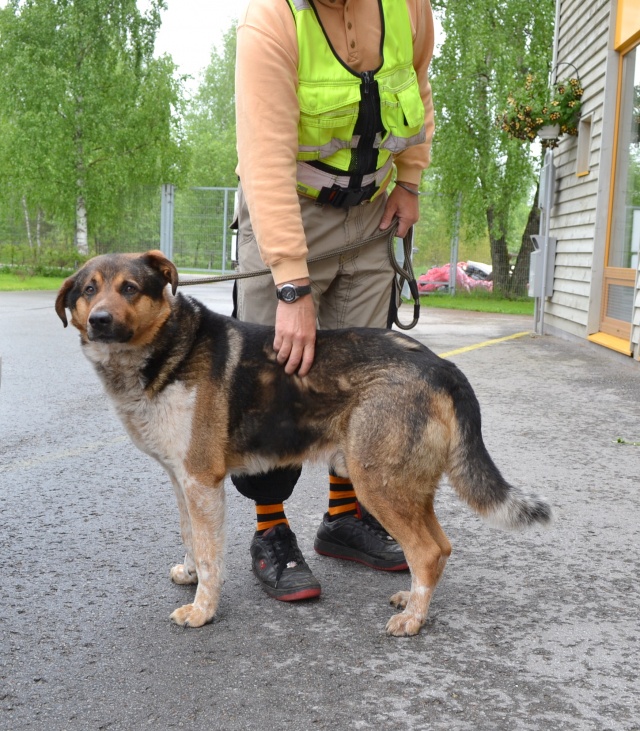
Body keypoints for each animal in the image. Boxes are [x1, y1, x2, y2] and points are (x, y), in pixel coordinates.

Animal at [55, 250, 551, 637]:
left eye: (130, 288)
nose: (100, 321)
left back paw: (413, 620)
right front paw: (190, 575)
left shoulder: (202, 481)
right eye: (88, 290)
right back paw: (411, 601)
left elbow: (212, 557)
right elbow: (190, 537)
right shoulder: (181, 480)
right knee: (440, 546)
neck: (169, 347)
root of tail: (441, 364)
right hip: (406, 484)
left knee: (427, 551)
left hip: (379, 481)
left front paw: (202, 610)